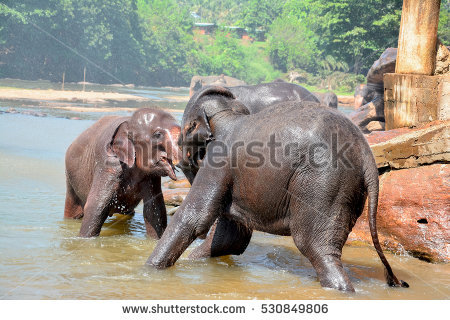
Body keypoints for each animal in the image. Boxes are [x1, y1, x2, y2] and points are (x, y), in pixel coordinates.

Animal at [65, 107, 181, 238]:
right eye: (158, 135)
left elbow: (155, 209)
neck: (129, 122)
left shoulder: (151, 176)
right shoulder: (108, 163)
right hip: (70, 180)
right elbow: (96, 206)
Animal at [148, 86, 408, 292]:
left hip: (323, 183)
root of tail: (366, 155)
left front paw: (149, 270)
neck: (230, 114)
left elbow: (195, 218)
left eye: (183, 132)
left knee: (315, 247)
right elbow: (230, 239)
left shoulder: (219, 161)